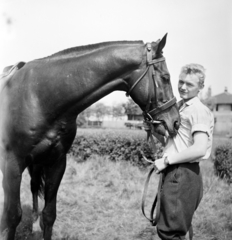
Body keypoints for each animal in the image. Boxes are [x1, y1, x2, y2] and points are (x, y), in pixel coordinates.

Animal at [0, 34, 180, 240]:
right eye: (166, 77)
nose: (175, 121)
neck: (39, 97)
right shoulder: (12, 164)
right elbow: (13, 215)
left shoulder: (56, 163)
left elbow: (49, 215)